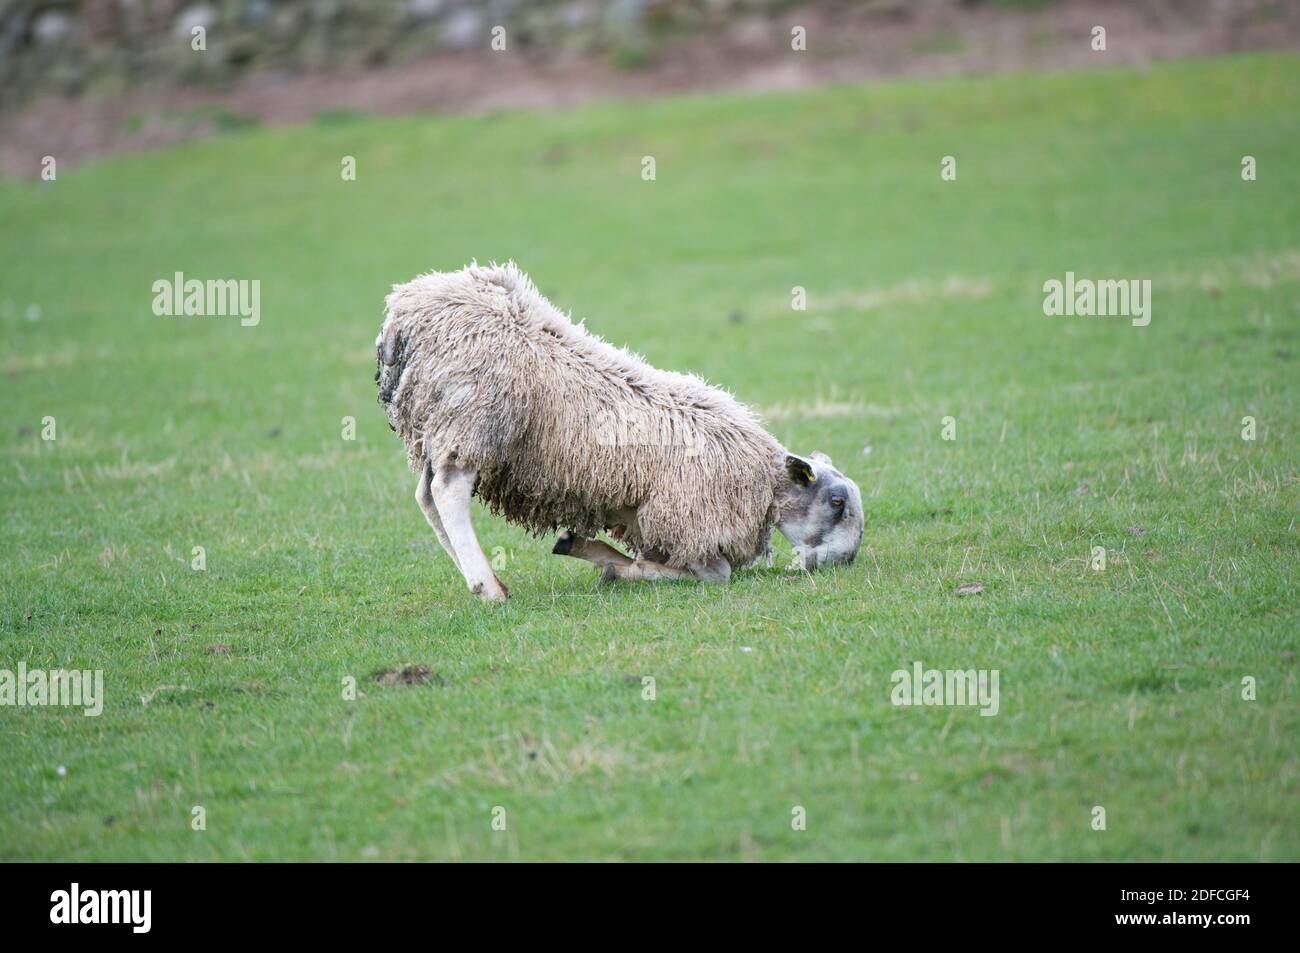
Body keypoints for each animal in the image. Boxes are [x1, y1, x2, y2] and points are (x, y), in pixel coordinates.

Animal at [377, 263, 863, 598]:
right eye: (837, 503)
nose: (846, 563)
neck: (762, 481)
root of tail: (405, 312)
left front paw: (586, 549)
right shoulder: (690, 521)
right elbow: (715, 574)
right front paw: (620, 568)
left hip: (436, 424)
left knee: (426, 494)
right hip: (475, 416)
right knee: (449, 492)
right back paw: (487, 587)